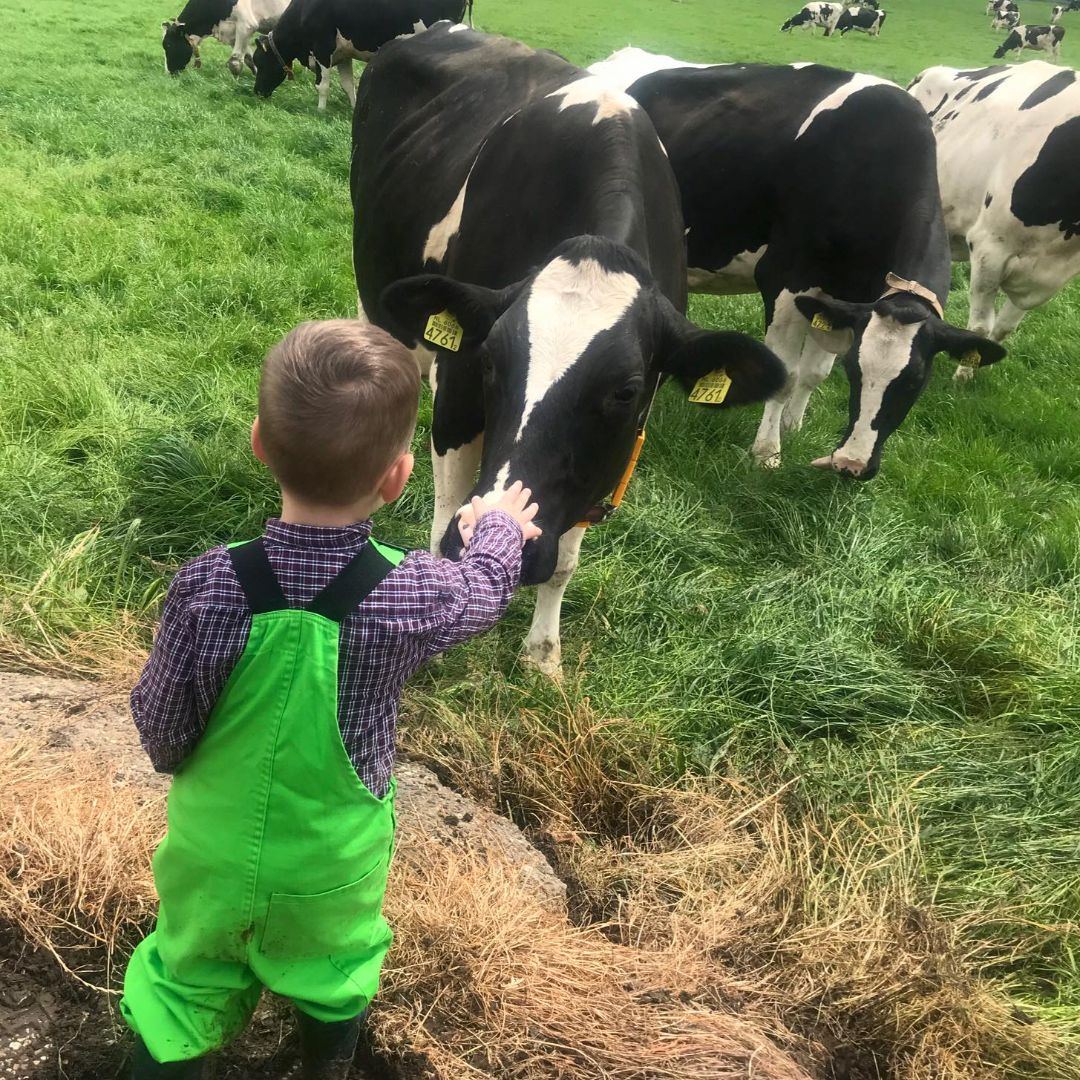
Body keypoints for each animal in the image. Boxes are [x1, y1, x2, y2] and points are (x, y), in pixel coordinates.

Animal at [254, 0, 475, 109]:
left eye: (260, 63)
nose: (256, 92)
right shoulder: (343, 54)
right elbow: (348, 85)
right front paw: (353, 108)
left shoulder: (322, 50)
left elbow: (322, 86)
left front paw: (320, 111)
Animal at [354, 25, 786, 669]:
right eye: (488, 362)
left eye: (626, 391)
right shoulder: (456, 388)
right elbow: (443, 525)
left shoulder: (611, 449)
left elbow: (564, 563)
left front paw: (542, 655)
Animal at [591, 46, 1002, 477]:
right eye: (856, 372)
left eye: (914, 382)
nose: (852, 464)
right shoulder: (786, 278)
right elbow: (786, 373)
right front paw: (767, 451)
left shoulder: (845, 296)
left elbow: (815, 371)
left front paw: (793, 425)